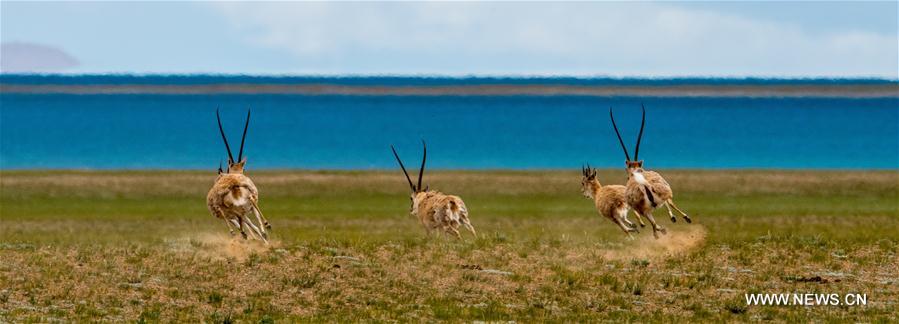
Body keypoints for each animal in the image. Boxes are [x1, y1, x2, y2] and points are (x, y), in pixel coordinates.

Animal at [207, 109, 270, 243]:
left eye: (244, 168)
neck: (235, 173)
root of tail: (234, 184)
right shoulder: (244, 212)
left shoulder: (241, 213)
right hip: (241, 206)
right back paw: (261, 229)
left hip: (236, 209)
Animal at [608, 105, 692, 239]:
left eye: (627, 175)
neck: (635, 173)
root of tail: (644, 184)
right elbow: (669, 204)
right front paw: (673, 218)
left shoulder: (640, 210)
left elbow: (653, 221)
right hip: (663, 194)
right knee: (668, 204)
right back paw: (681, 219)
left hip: (645, 211)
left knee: (654, 223)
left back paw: (660, 232)